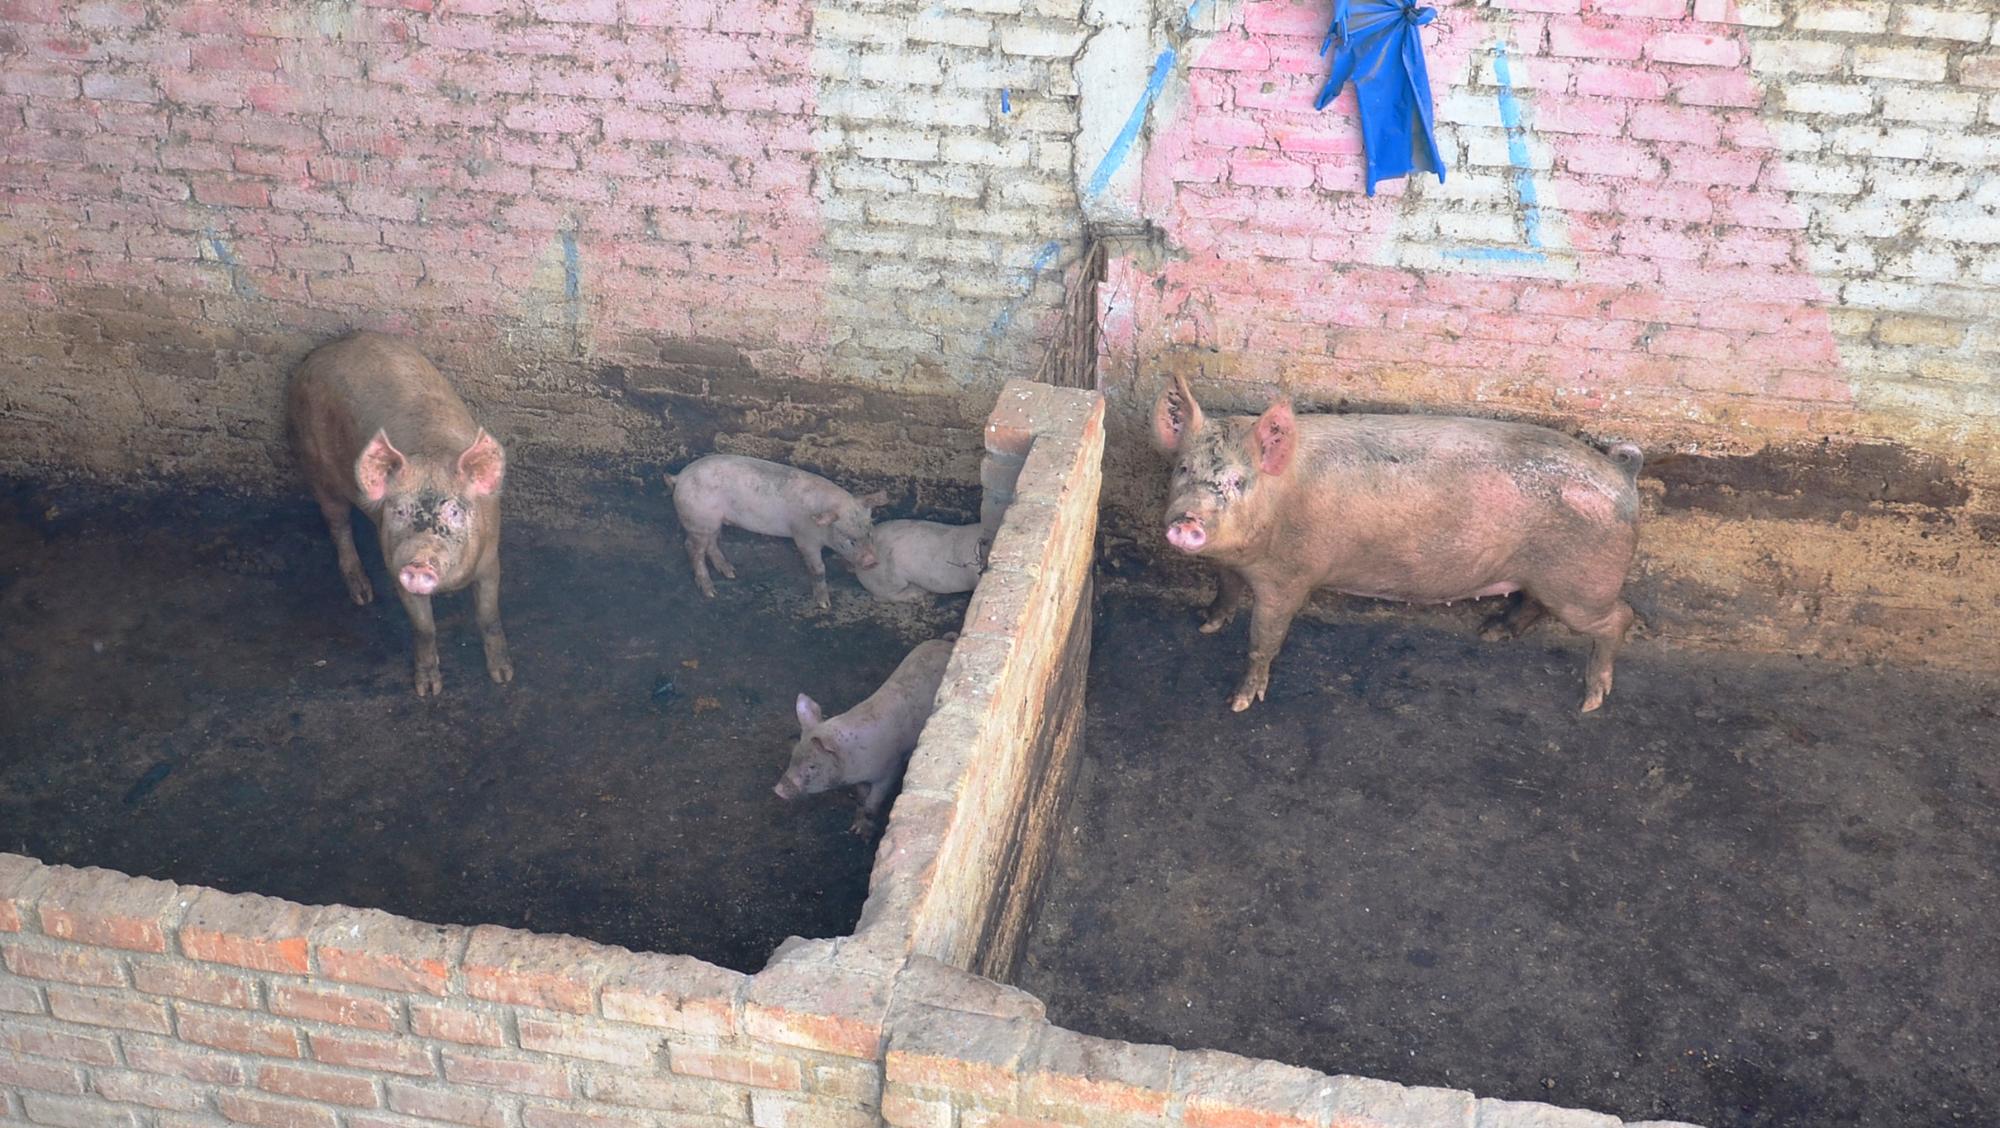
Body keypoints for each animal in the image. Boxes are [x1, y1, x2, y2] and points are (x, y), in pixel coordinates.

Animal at [288, 330, 512, 696]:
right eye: (399, 511)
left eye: (454, 511)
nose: (419, 562)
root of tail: (328, 347)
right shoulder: (395, 565)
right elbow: (424, 629)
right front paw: (428, 690)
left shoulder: (490, 559)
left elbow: (488, 616)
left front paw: (503, 676)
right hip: (314, 464)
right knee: (337, 524)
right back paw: (362, 595)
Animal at [1160, 372, 1640, 712]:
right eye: (1183, 469)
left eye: (1237, 482)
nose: (1188, 520)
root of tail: (1624, 475)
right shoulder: (1231, 564)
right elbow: (1225, 590)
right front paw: (1206, 623)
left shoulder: (1290, 577)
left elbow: (1264, 639)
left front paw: (1238, 703)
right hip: (1549, 580)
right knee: (1536, 603)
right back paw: (1491, 632)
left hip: (1583, 585)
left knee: (1621, 616)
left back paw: (1591, 701)